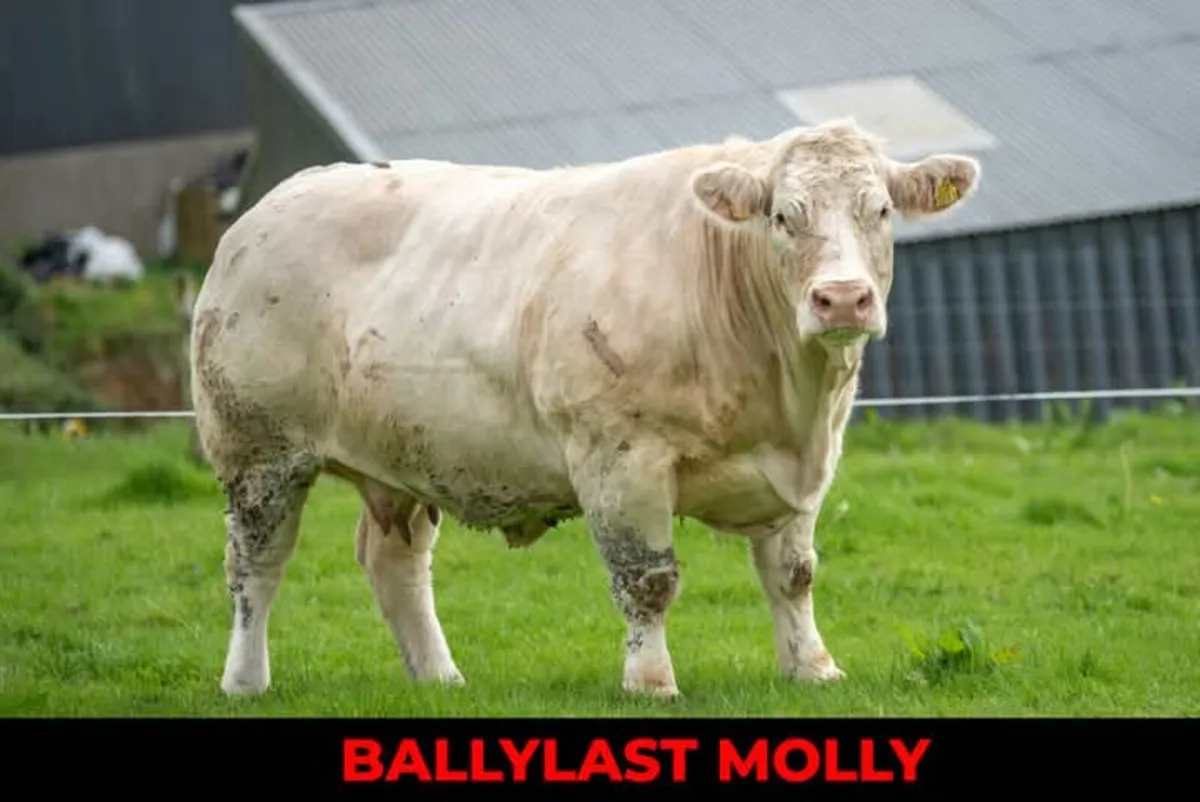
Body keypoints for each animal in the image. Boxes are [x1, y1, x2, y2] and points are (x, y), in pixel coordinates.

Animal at [190, 117, 981, 700]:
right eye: (784, 216)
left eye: (882, 210)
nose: (842, 298)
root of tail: (267, 209)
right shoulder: (619, 459)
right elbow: (649, 581)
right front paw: (651, 682)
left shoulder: (807, 464)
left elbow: (794, 575)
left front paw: (813, 669)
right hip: (258, 451)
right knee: (254, 566)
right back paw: (246, 681)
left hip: (401, 455)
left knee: (396, 566)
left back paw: (440, 678)